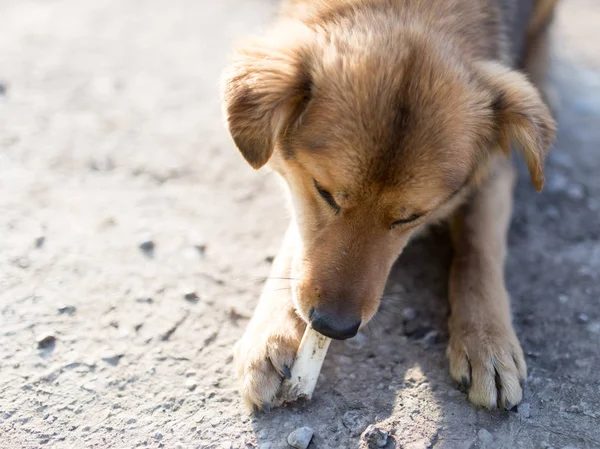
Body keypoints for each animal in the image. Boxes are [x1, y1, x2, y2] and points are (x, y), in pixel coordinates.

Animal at [221, 0, 556, 412]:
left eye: (411, 217)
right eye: (325, 192)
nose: (333, 327)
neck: (413, 9)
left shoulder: (494, 170)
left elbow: (479, 250)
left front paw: (487, 339)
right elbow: (296, 248)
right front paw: (272, 334)